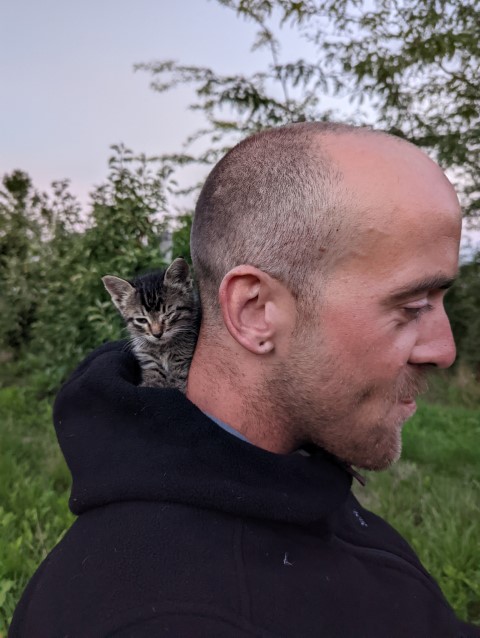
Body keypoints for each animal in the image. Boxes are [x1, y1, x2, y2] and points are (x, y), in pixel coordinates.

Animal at [102, 258, 200, 392]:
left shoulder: (182, 362)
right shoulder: (150, 363)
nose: (157, 334)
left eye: (168, 314)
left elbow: (178, 384)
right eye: (141, 320)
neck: (162, 349)